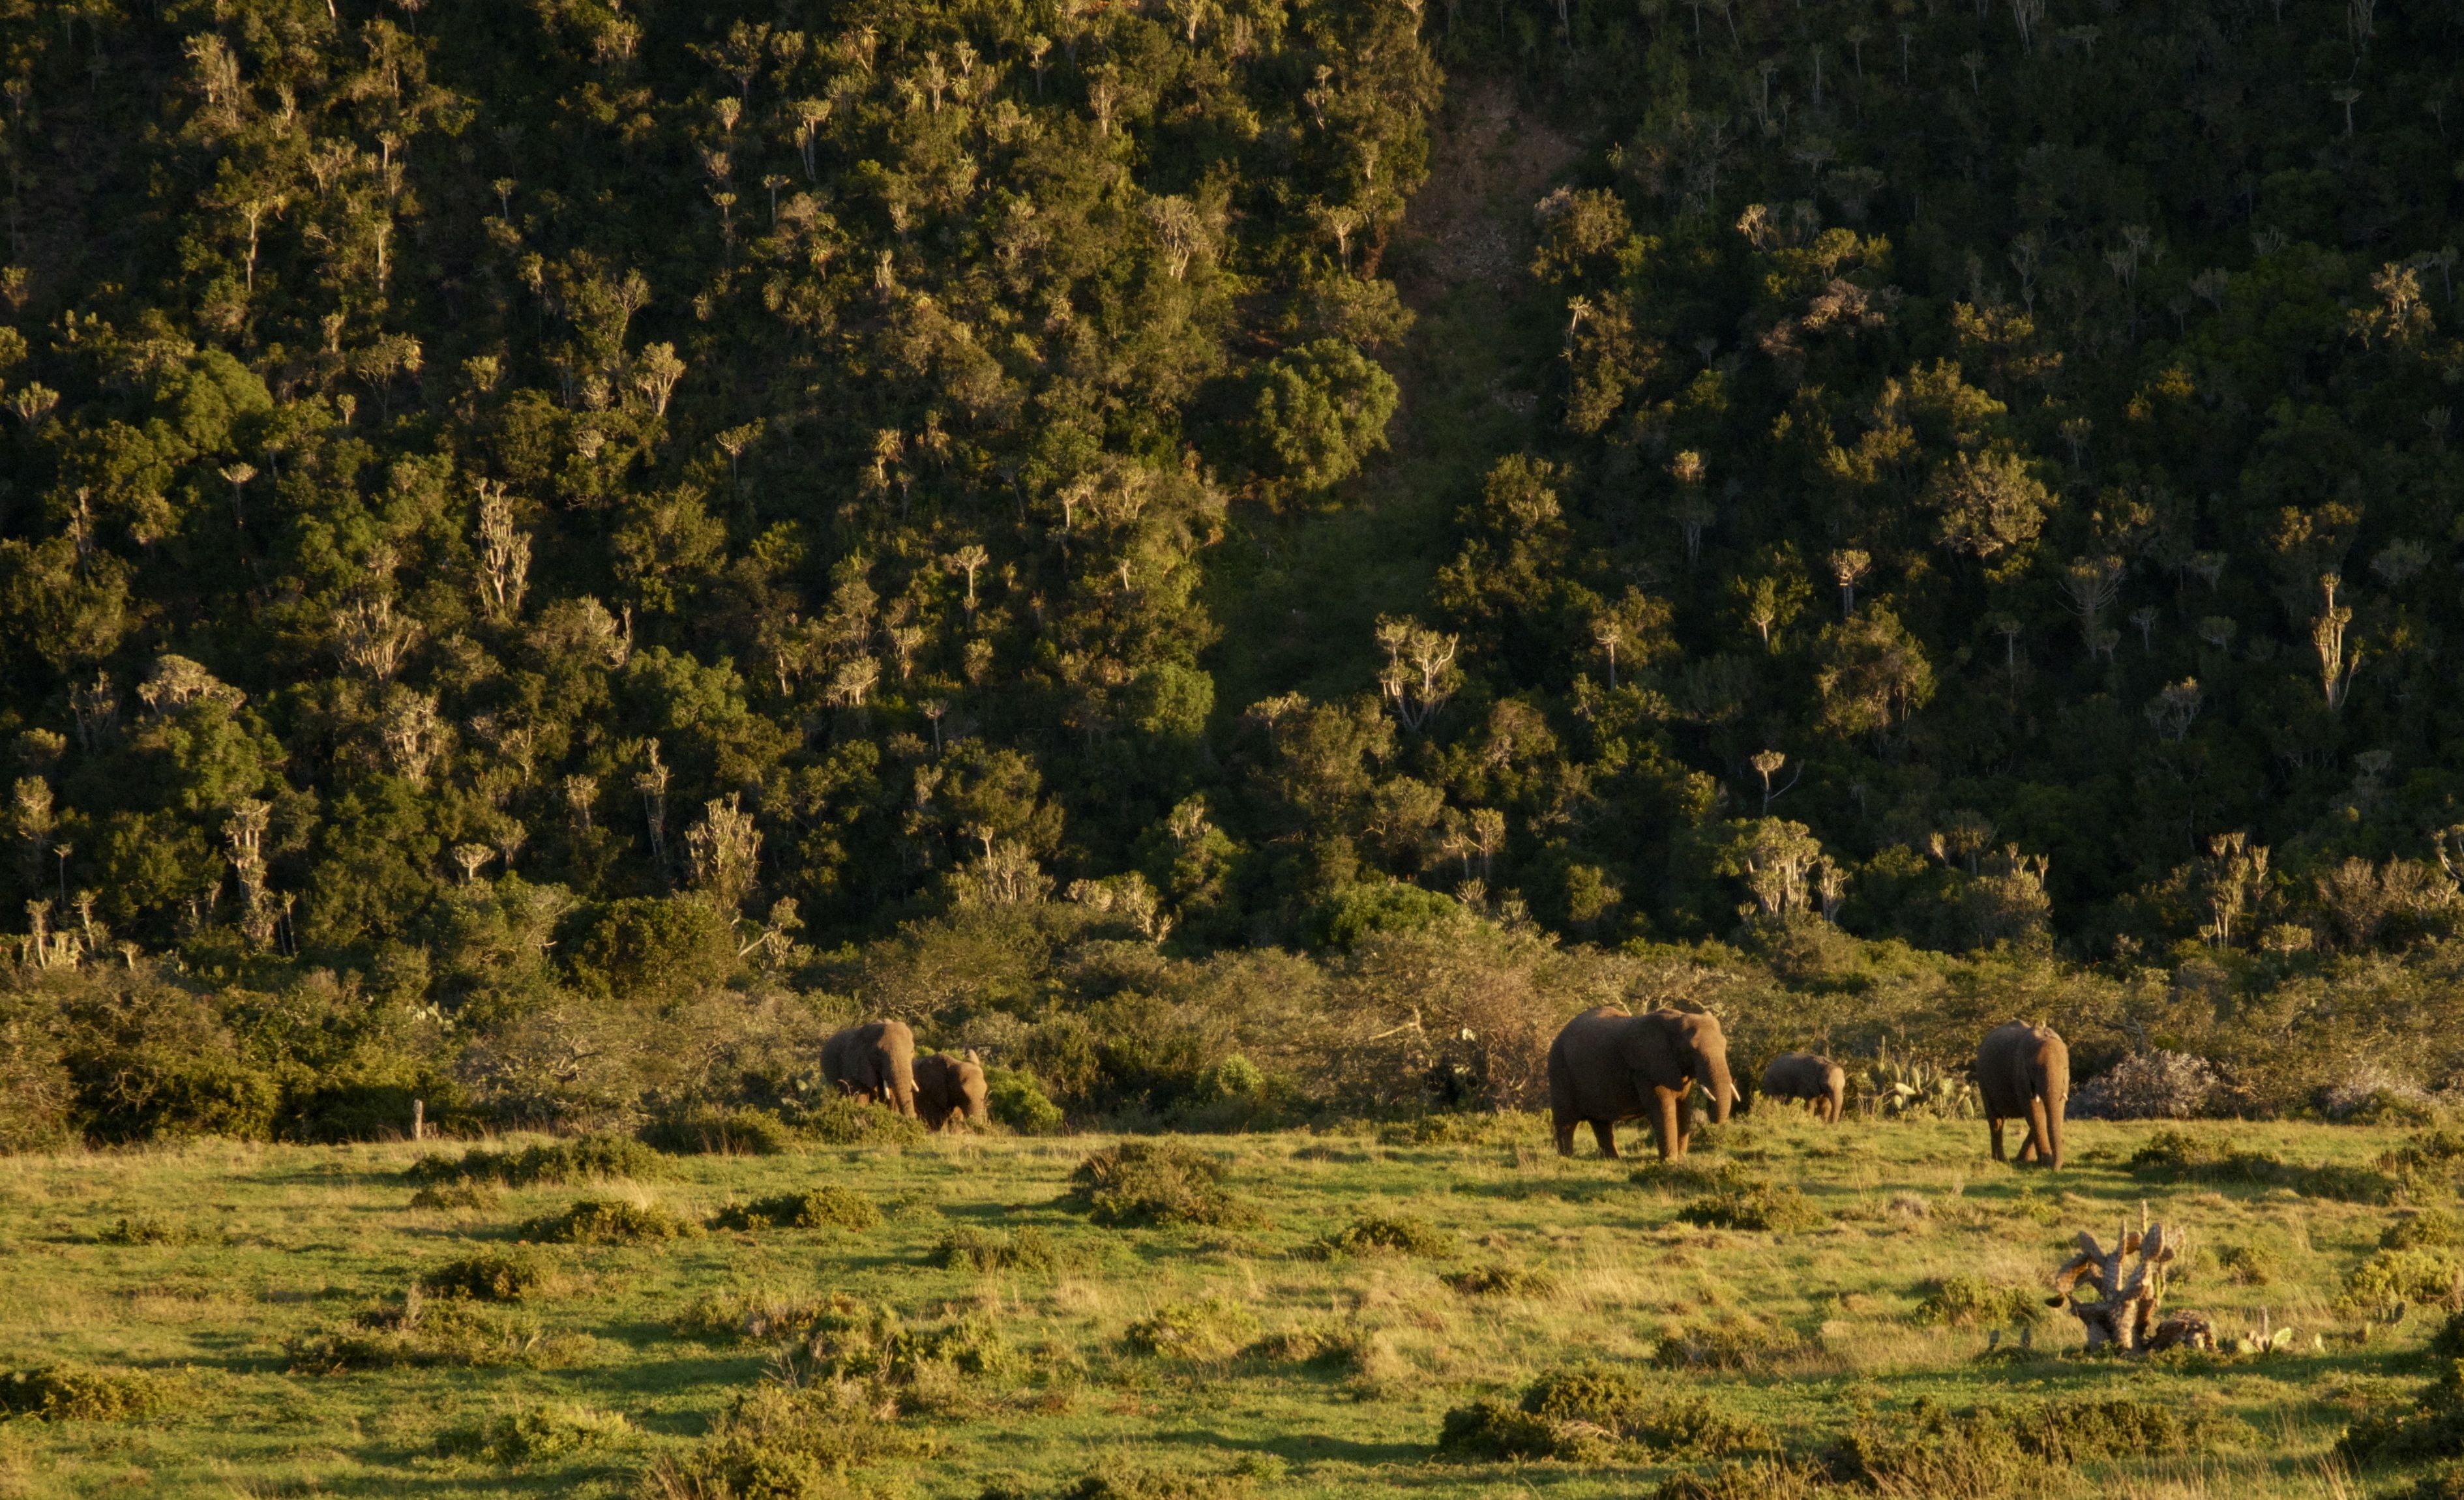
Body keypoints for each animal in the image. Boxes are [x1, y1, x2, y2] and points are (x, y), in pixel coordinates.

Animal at [1547, 1006, 1738, 1160]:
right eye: (1690, 1050)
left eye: (1725, 1045)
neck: (1676, 1019)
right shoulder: (1645, 1069)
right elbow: (1663, 1108)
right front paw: (1670, 1162)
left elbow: (1684, 1107)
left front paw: (1682, 1159)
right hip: (1559, 1068)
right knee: (1566, 1120)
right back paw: (1567, 1158)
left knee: (1601, 1122)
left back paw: (1613, 1159)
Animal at [1761, 1052, 1847, 1123]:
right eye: (1827, 1085)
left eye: (1843, 1086)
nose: (1832, 1125)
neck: (1823, 1065)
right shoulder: (1806, 1084)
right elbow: (1810, 1103)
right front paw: (1810, 1121)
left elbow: (1825, 1104)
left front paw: (1823, 1123)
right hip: (1772, 1084)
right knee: (1775, 1100)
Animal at [1976, 1021, 2069, 1169]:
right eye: (2034, 1069)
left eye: (2065, 1069)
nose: (2054, 1169)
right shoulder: (2020, 1075)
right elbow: (2035, 1112)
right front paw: (2045, 1163)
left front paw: (2024, 1160)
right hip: (1982, 1078)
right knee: (1995, 1119)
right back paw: (1999, 1160)